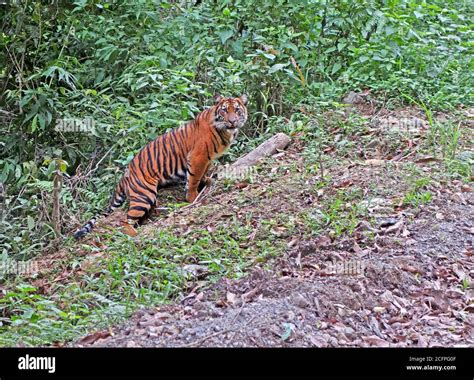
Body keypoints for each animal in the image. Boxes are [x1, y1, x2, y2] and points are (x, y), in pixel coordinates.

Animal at [74, 93, 248, 239]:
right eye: (224, 110)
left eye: (237, 110)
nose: (232, 121)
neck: (225, 131)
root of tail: (124, 176)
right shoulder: (198, 157)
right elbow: (193, 179)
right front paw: (193, 198)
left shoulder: (208, 159)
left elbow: (203, 173)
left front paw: (207, 180)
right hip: (144, 195)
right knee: (125, 221)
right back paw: (134, 234)